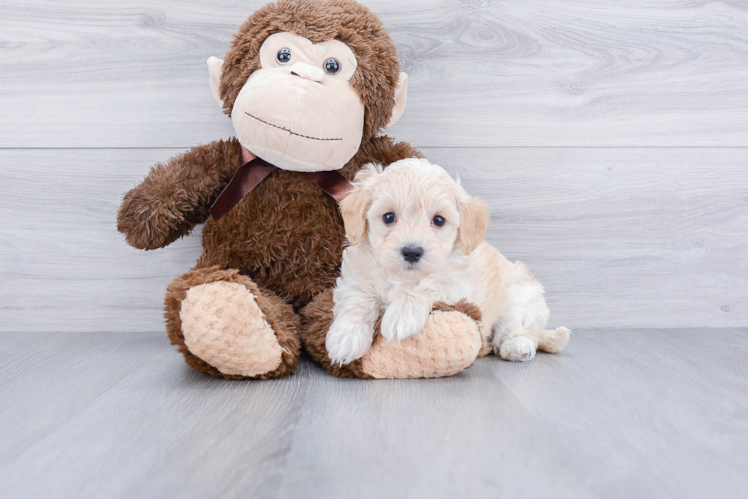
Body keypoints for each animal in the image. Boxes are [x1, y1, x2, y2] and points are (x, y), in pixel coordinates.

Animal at [324, 160, 568, 368]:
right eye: (388, 217)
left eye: (439, 220)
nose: (412, 251)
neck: (404, 278)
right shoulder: (355, 279)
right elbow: (358, 300)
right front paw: (345, 338)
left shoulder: (457, 287)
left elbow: (429, 284)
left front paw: (401, 316)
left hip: (520, 299)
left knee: (520, 331)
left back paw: (517, 346)